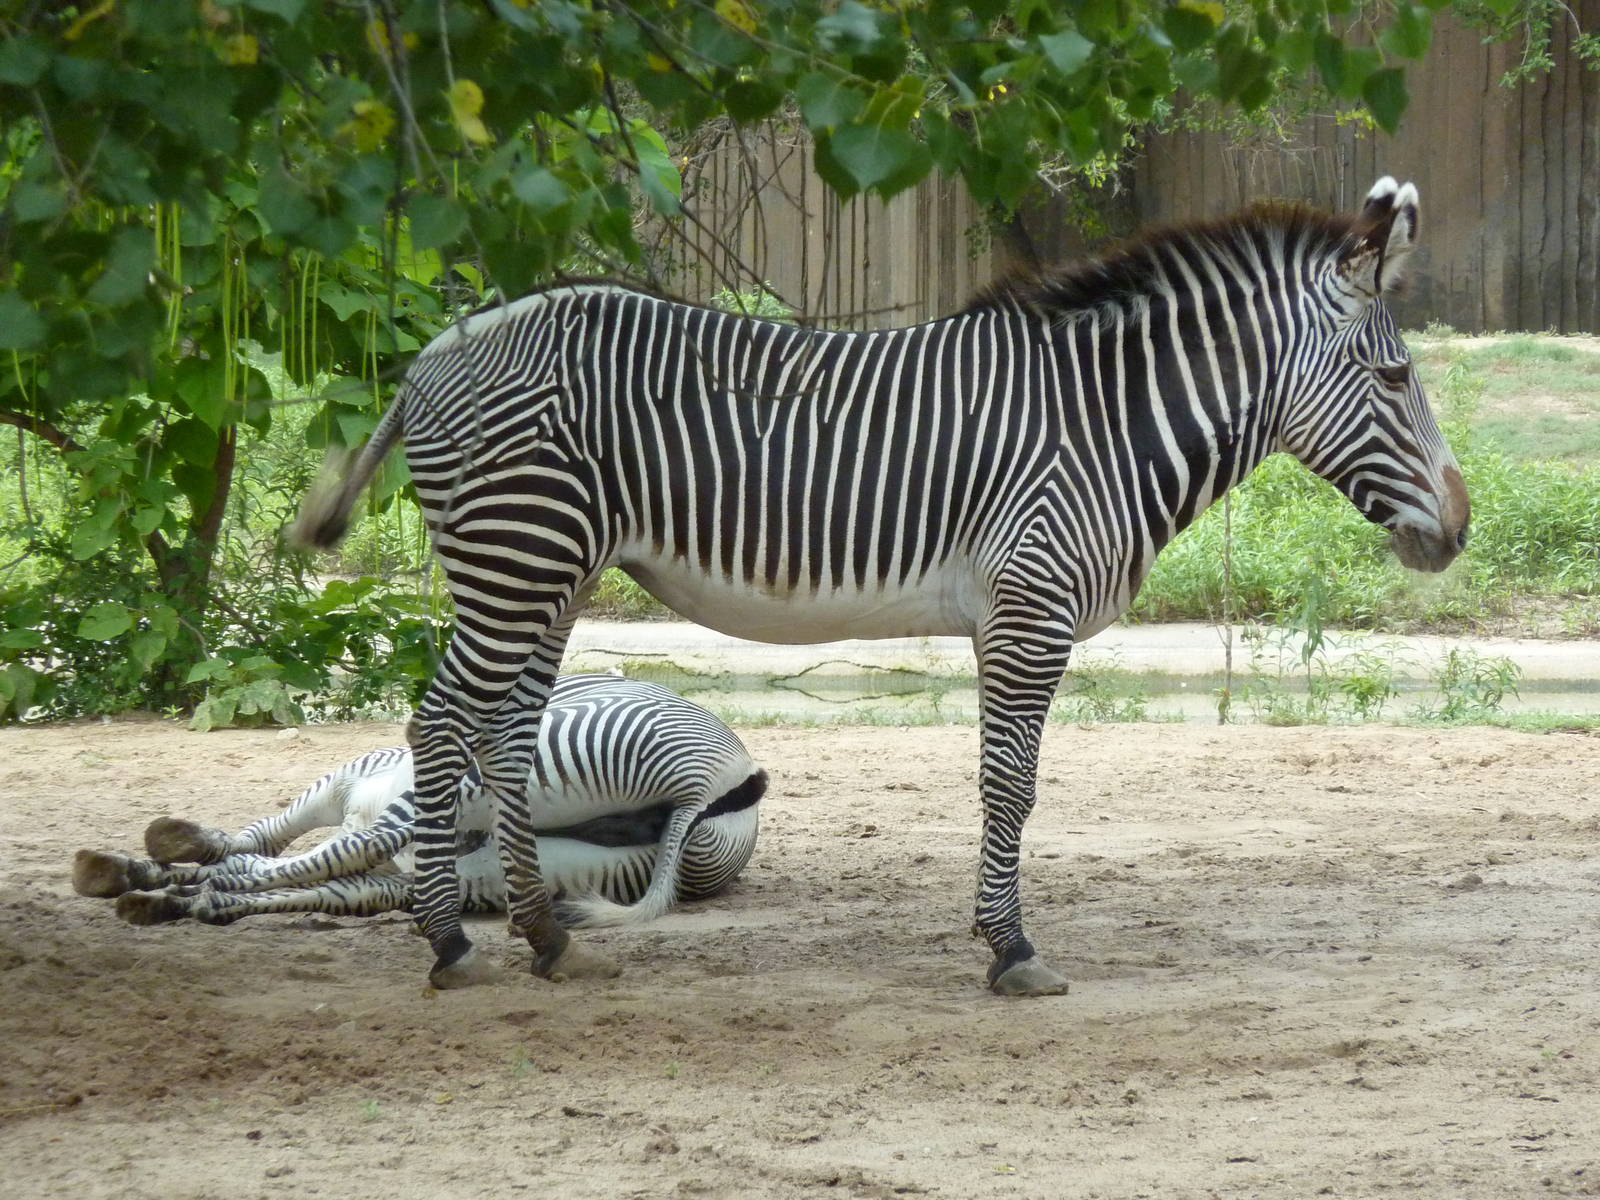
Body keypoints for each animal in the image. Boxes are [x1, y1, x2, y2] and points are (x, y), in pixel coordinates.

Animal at [73, 674, 765, 939]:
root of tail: (711, 779)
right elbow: (286, 860)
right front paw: (170, 879)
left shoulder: (351, 781)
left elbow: (265, 842)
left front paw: (168, 863)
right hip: (535, 870)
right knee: (345, 876)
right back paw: (183, 899)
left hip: (508, 770)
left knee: (357, 847)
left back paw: (174, 888)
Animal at [292, 178, 1468, 996]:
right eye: (1397, 376)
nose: (1458, 529)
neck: (1107, 429)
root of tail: (436, 352)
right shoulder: (1030, 610)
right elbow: (1011, 787)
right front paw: (1011, 949)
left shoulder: (1008, 619)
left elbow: (1003, 785)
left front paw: (997, 935)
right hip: (517, 556)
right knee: (440, 726)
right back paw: (450, 942)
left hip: (548, 571)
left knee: (499, 732)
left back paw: (544, 936)